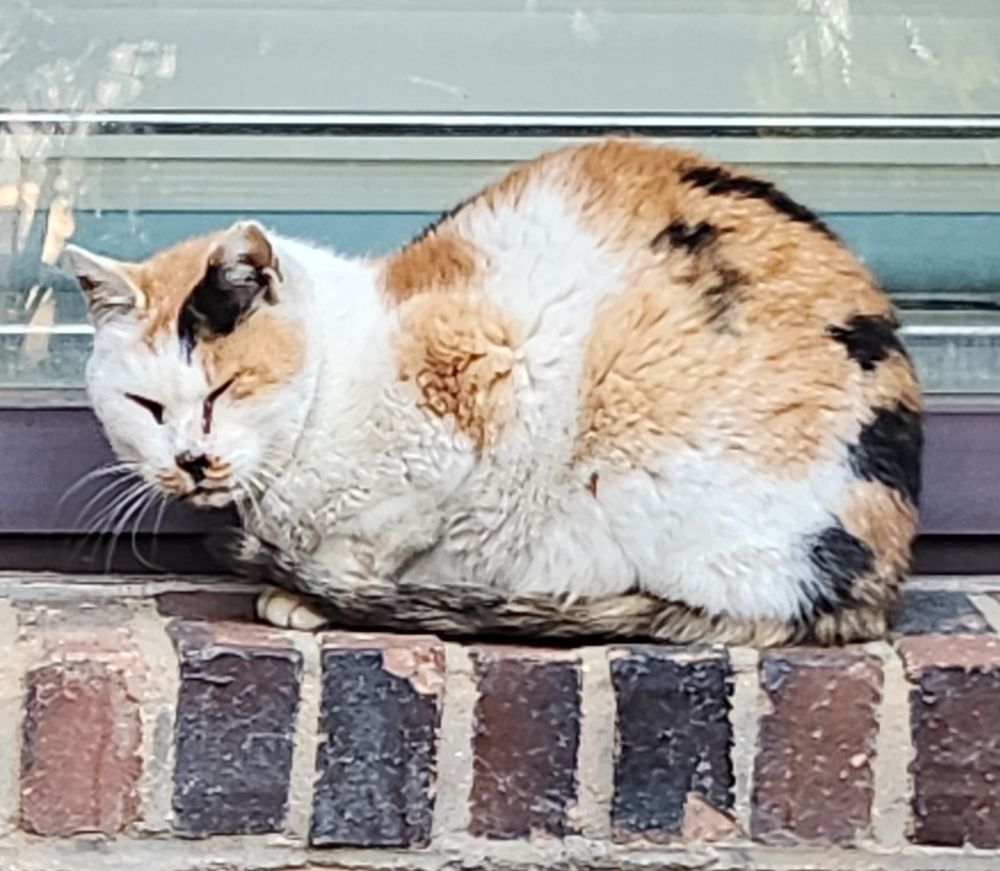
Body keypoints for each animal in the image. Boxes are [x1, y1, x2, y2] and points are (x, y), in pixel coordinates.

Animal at [60, 137, 922, 646]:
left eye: (226, 388)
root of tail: (876, 580)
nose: (192, 460)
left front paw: (315, 591)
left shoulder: (486, 388)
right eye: (147, 408)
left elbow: (377, 537)